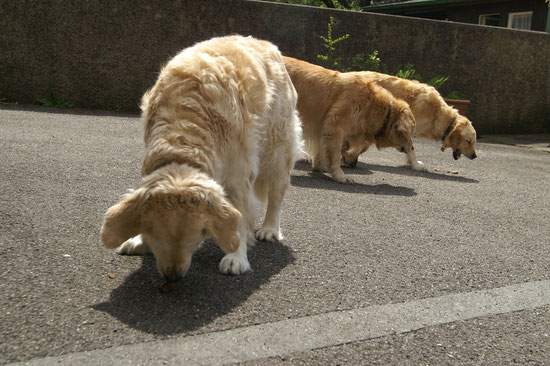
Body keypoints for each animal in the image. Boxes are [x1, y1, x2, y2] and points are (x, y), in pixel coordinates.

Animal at [101, 35, 304, 282]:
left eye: (198, 236)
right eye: (155, 236)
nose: (172, 276)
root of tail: (268, 44)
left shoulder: (238, 173)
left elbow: (240, 216)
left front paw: (236, 257)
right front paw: (139, 241)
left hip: (276, 147)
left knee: (276, 194)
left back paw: (270, 228)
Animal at [284, 56, 414, 183]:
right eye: (410, 133)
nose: (412, 148)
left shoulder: (322, 129)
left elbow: (321, 150)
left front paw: (320, 167)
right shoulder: (335, 126)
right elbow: (335, 155)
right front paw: (339, 176)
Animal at [344, 72, 478, 172]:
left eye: (474, 142)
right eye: (468, 141)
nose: (474, 156)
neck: (436, 114)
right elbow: (411, 149)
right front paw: (416, 165)